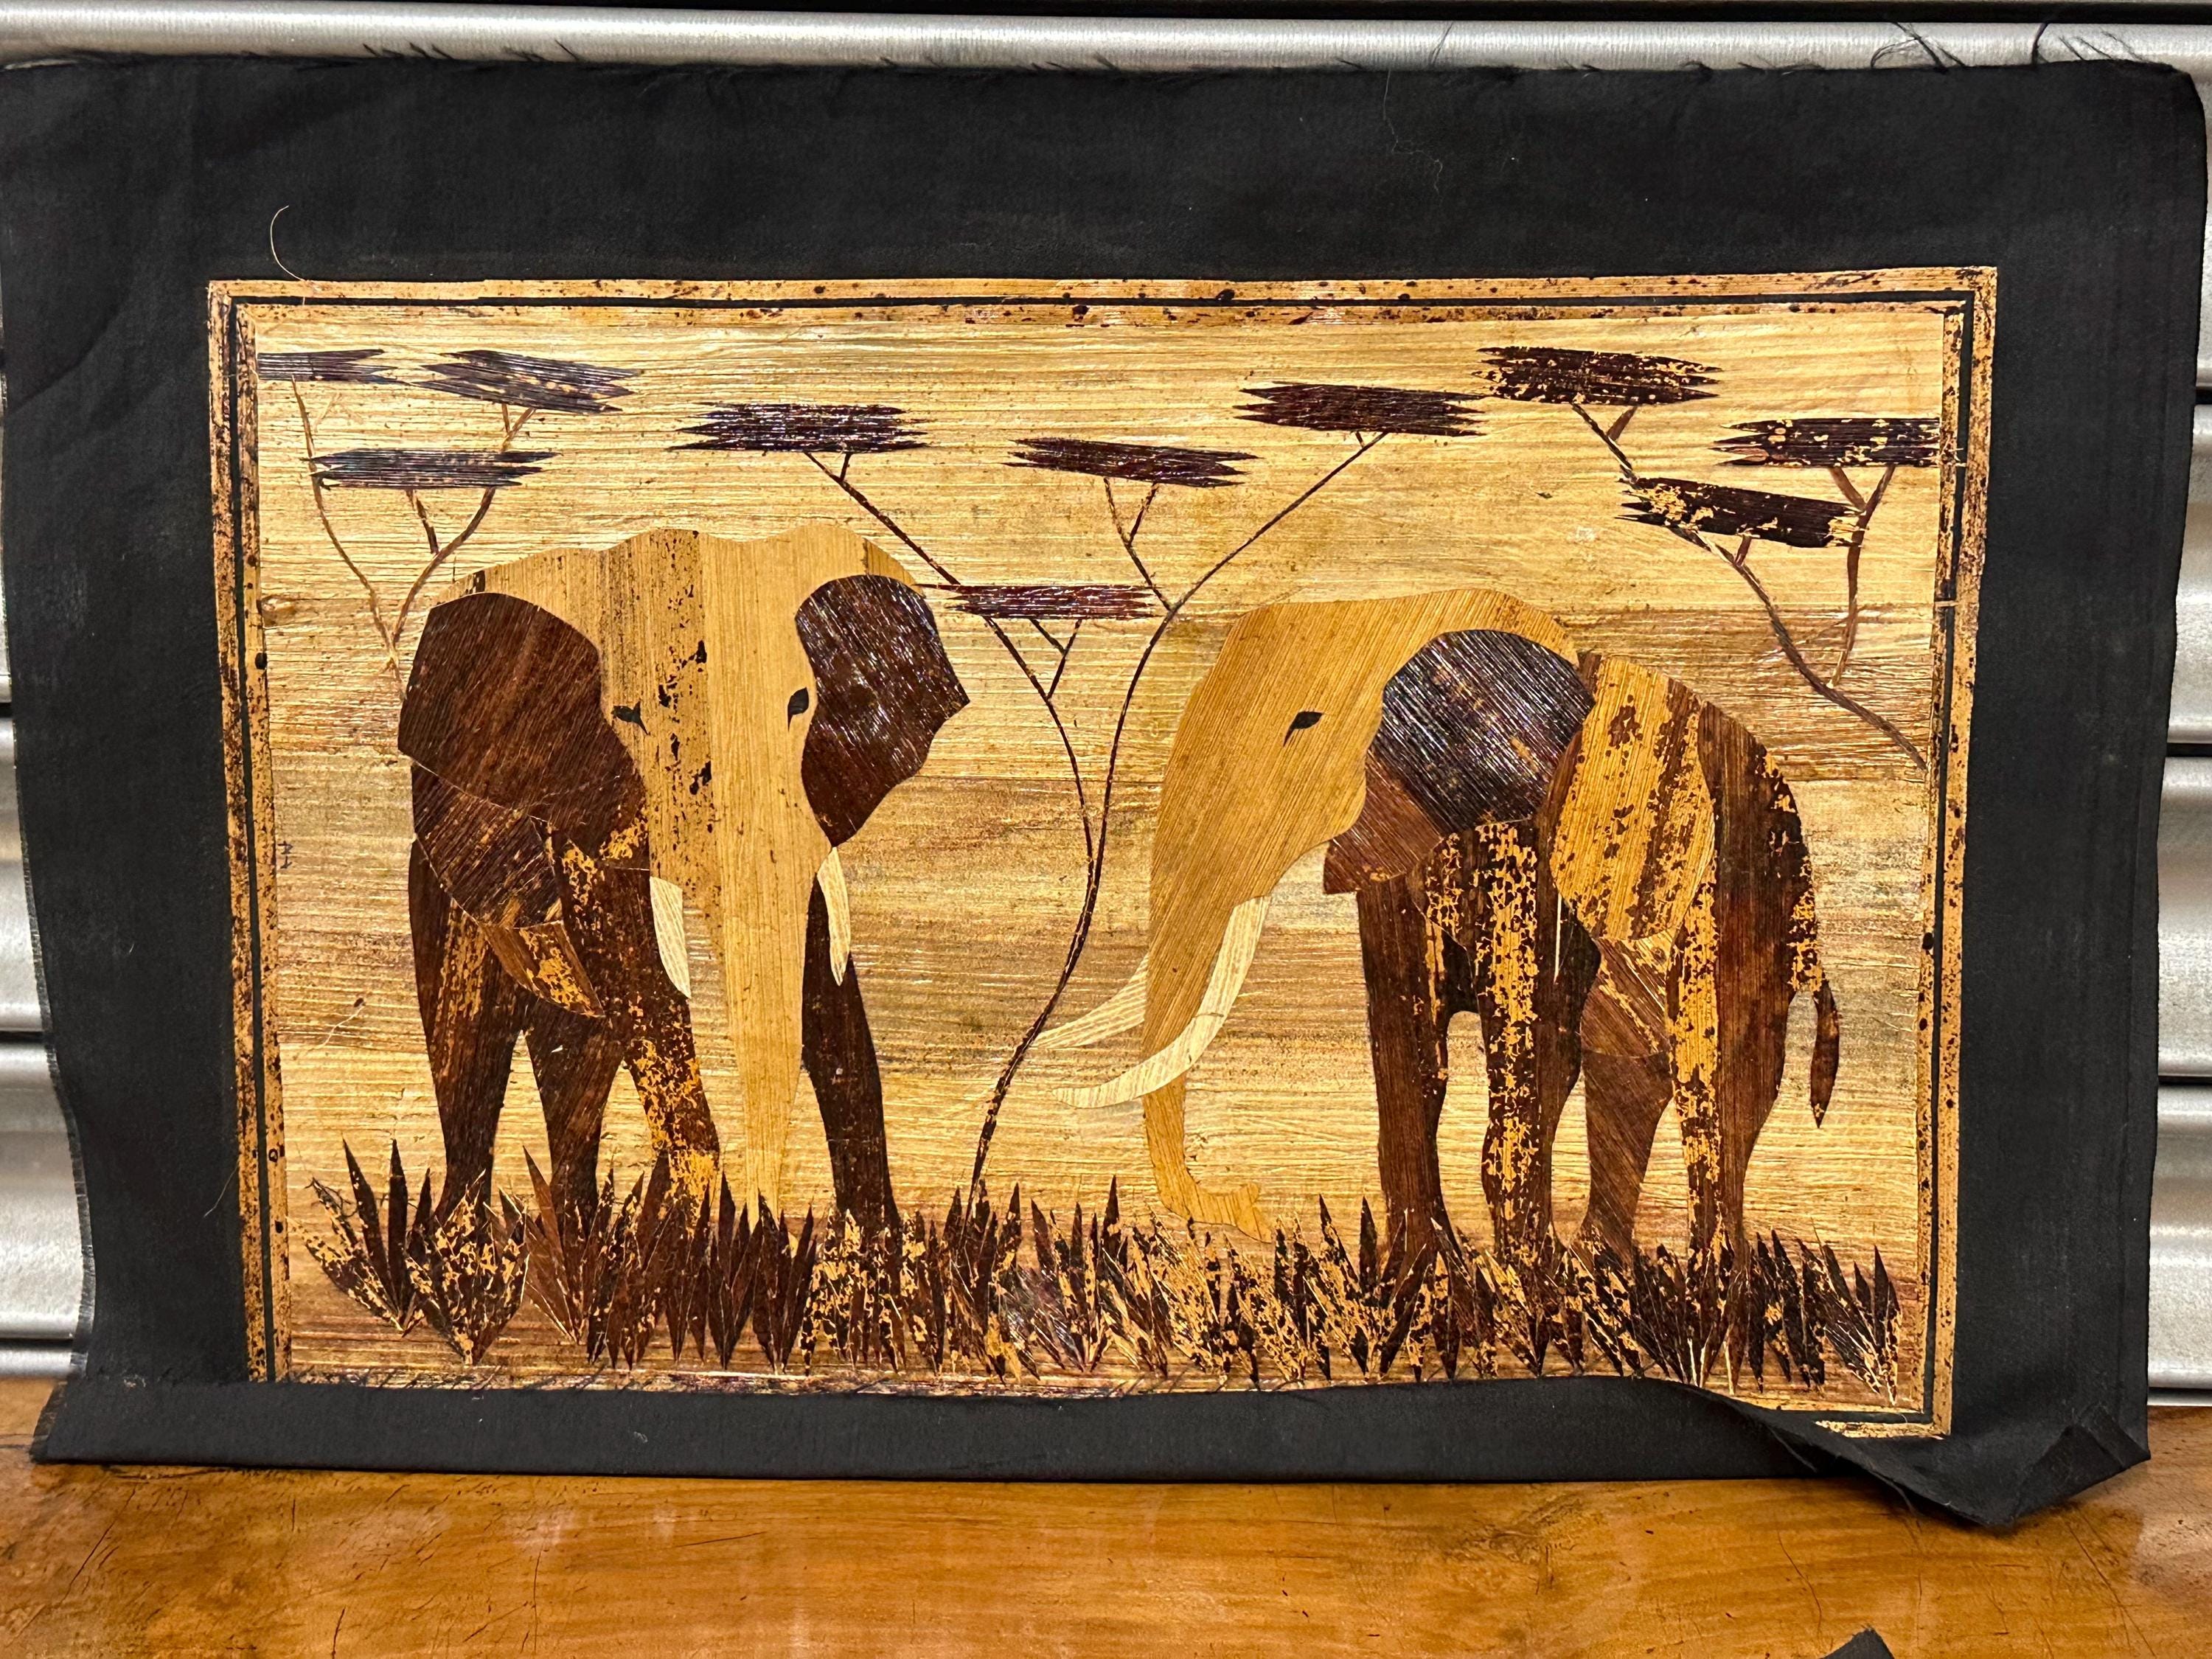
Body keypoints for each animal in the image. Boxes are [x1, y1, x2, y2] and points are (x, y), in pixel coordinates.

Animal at [399, 523, 968, 1232]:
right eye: (629, 716)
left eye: (801, 703)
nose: (763, 1212)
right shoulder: (589, 809)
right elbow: (642, 975)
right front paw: (683, 1227)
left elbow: (828, 990)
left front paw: (872, 1245)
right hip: (440, 885)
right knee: (469, 1045)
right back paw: (463, 1242)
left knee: (579, 1058)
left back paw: (577, 1233)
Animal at [1060, 588, 1838, 1279]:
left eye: (1304, 722)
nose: (1243, 1205)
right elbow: (1411, 1043)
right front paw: (1421, 1275)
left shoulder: (1523, 831)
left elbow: (1533, 1030)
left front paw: (1522, 1286)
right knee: (1627, 1052)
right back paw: (1604, 1269)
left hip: (1750, 881)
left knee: (1716, 1069)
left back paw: (1709, 1284)